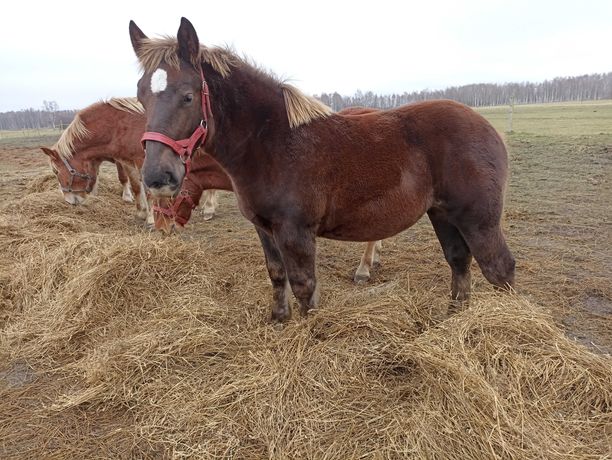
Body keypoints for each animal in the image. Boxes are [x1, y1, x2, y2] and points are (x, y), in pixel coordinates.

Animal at [130, 17, 516, 320]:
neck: (273, 142)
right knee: (459, 262)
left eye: (188, 96)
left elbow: (304, 286)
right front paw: (278, 321)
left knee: (499, 268)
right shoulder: (264, 229)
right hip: (443, 214)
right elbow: (277, 275)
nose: (157, 177)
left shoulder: (296, 231)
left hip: (477, 218)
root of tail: (489, 129)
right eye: (141, 96)